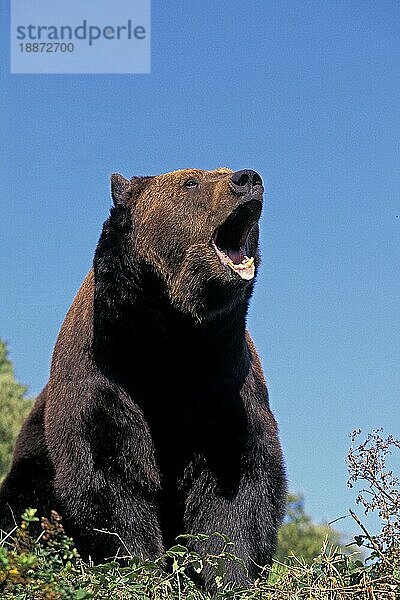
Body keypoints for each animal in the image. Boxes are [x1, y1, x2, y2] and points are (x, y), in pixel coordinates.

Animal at [0, 166, 288, 588]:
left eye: (221, 172)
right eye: (191, 182)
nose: (247, 179)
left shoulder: (221, 382)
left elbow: (235, 482)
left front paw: (228, 572)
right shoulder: (105, 380)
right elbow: (111, 476)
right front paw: (144, 569)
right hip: (32, 462)